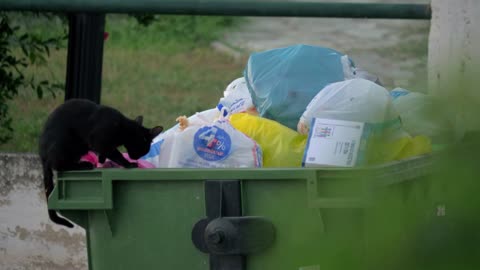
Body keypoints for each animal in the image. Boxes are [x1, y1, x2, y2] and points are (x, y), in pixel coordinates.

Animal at [39, 98, 163, 227]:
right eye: (145, 149)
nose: (136, 157)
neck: (123, 128)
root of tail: (42, 156)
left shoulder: (103, 146)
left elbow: (105, 153)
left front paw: (102, 160)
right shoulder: (100, 141)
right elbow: (116, 154)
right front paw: (128, 164)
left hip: (79, 148)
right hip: (66, 144)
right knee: (59, 165)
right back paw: (85, 165)